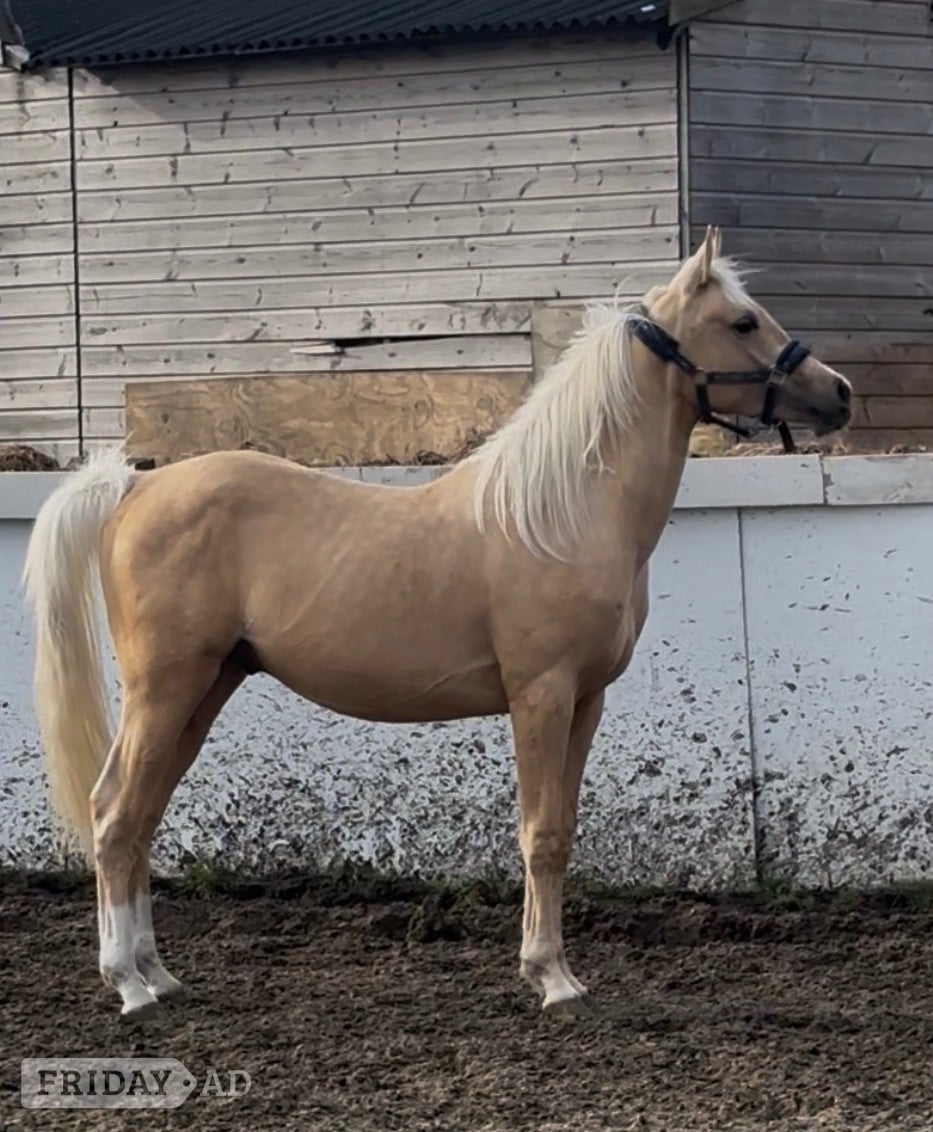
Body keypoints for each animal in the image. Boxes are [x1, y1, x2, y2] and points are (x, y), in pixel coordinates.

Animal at [22, 227, 852, 1020]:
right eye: (741, 320)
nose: (838, 392)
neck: (563, 513)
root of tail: (134, 488)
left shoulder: (586, 701)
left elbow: (564, 830)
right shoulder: (540, 696)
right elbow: (539, 835)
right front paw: (552, 978)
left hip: (206, 688)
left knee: (140, 816)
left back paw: (158, 975)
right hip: (165, 689)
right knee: (115, 813)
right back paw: (128, 985)